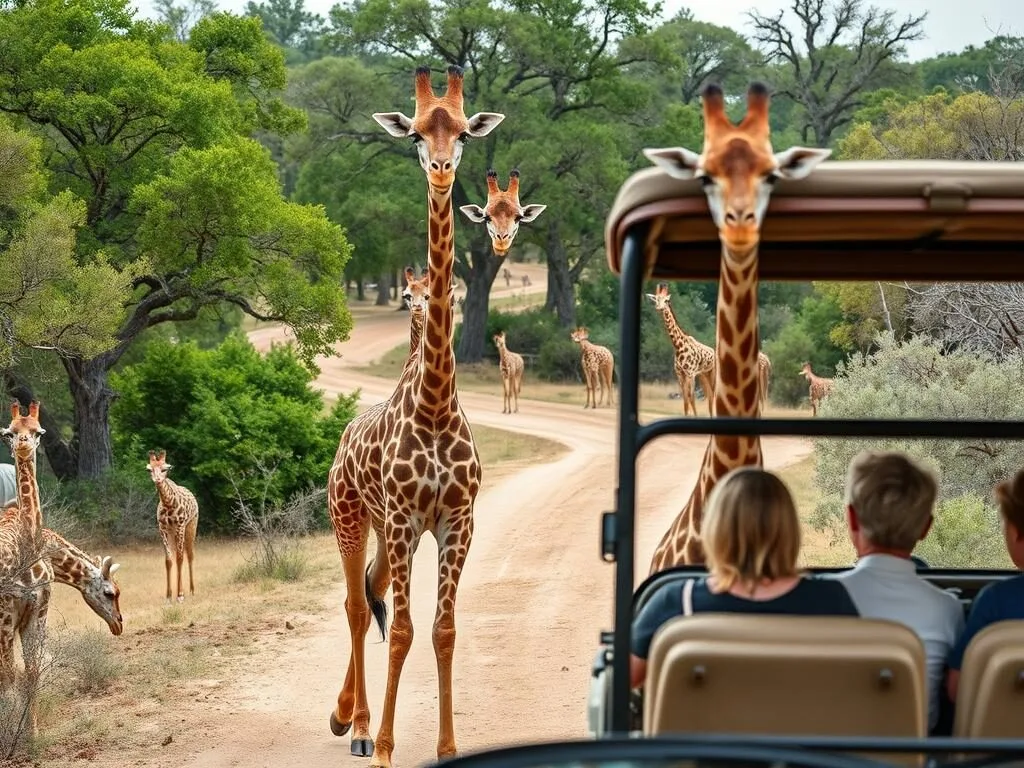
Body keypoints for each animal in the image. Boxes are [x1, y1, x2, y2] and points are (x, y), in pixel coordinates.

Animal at [145, 450, 199, 603]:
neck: (168, 503)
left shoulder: (180, 525)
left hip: (191, 526)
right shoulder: (163, 528)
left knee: (189, 555)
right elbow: (169, 560)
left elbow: (180, 558)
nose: (157, 480)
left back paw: (192, 590)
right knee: (178, 555)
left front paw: (180, 595)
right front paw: (169, 595)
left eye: (165, 468)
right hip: (173, 532)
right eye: (149, 469)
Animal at [326, 64, 503, 768]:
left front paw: (449, 747)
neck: (432, 405)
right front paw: (388, 746)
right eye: (415, 133)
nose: (442, 167)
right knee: (356, 603)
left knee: (370, 594)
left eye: (463, 131)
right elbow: (400, 629)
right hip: (351, 519)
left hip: (381, 530)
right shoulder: (405, 518)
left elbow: (443, 629)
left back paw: (348, 715)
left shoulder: (457, 519)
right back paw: (357, 727)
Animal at [645, 283, 716, 416]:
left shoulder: (690, 373)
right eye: (656, 299)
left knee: (712, 395)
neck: (678, 347)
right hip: (703, 374)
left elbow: (691, 397)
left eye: (666, 300)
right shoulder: (680, 374)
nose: (658, 307)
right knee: (709, 396)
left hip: (712, 373)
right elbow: (685, 399)